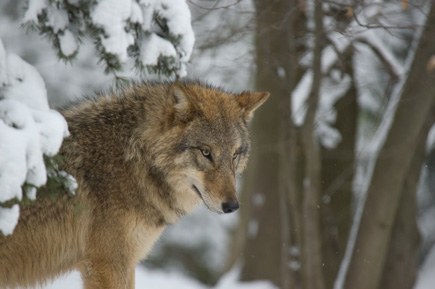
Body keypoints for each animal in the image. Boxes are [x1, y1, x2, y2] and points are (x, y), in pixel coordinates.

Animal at [0, 80, 270, 286]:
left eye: (234, 155)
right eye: (205, 152)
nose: (232, 206)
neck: (134, 159)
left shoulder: (122, 263)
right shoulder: (108, 264)